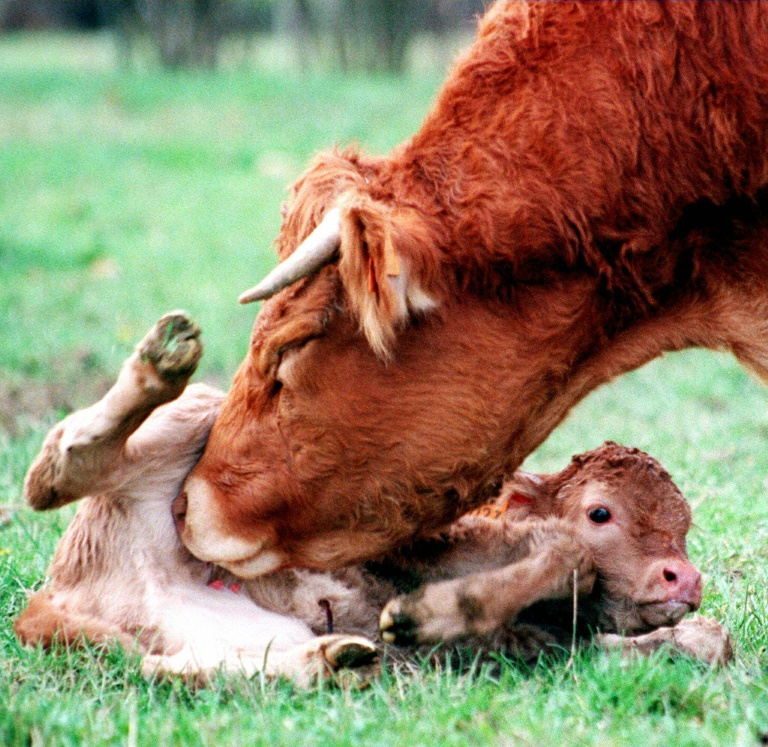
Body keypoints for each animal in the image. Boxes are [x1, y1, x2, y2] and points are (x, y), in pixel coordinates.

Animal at [13, 312, 732, 680]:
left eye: (684, 526)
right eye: (600, 511)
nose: (682, 574)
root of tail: (51, 598)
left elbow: (710, 637)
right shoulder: (423, 543)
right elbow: (567, 556)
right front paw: (426, 614)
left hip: (197, 635)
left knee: (175, 668)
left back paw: (336, 657)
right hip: (203, 419)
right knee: (61, 465)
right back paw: (162, 362)